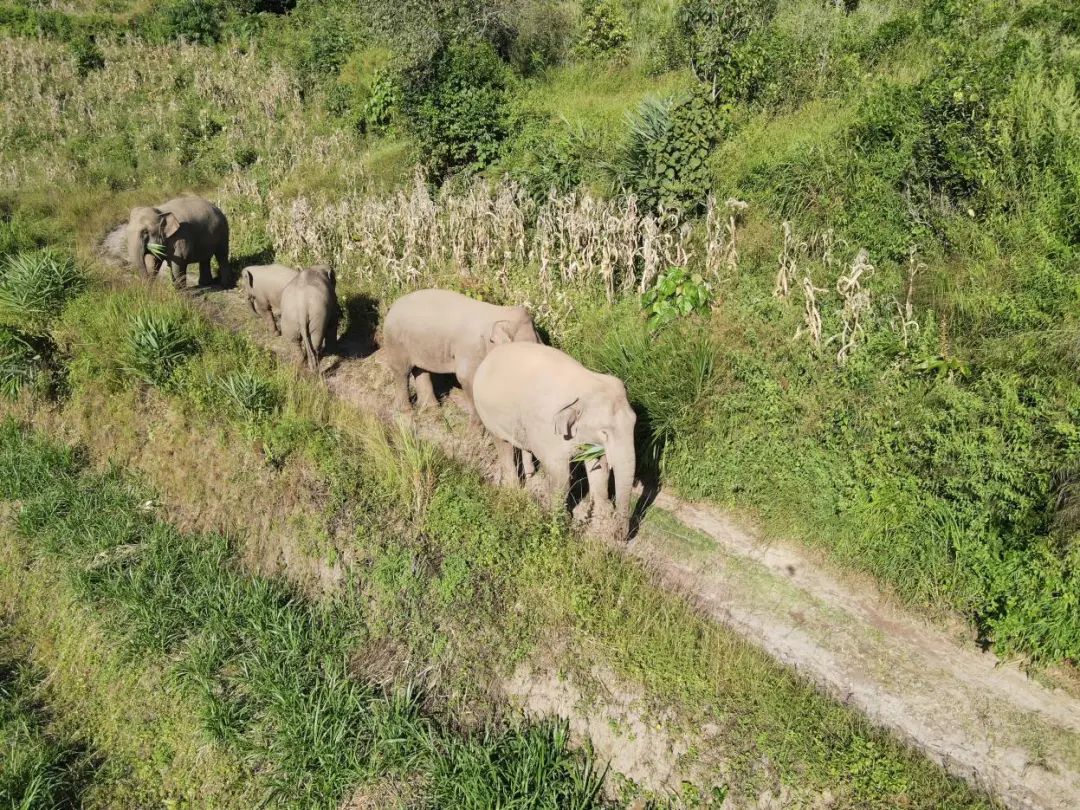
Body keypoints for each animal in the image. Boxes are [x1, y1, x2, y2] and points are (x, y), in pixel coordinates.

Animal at [384, 289, 544, 419]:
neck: (500, 313)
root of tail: (392, 306)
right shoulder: (470, 348)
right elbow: (466, 377)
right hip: (396, 341)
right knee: (402, 372)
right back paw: (405, 412)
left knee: (421, 370)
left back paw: (431, 409)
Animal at [473, 341, 630, 540]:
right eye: (604, 432)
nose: (619, 536)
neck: (585, 383)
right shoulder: (546, 430)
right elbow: (560, 475)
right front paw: (560, 521)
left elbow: (598, 466)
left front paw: (601, 518)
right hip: (488, 413)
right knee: (503, 445)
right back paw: (513, 490)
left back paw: (530, 476)